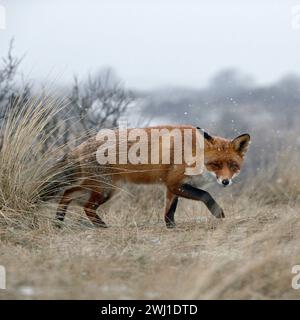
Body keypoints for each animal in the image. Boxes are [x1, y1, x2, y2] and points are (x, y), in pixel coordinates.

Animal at [44, 125, 250, 228]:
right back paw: (102, 227)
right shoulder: (175, 183)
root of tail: (79, 146)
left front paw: (171, 228)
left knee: (68, 194)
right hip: (104, 189)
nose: (225, 181)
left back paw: (58, 222)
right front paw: (218, 213)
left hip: (100, 188)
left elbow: (169, 212)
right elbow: (205, 195)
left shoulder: (172, 186)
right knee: (85, 206)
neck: (194, 153)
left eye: (233, 166)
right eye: (215, 164)